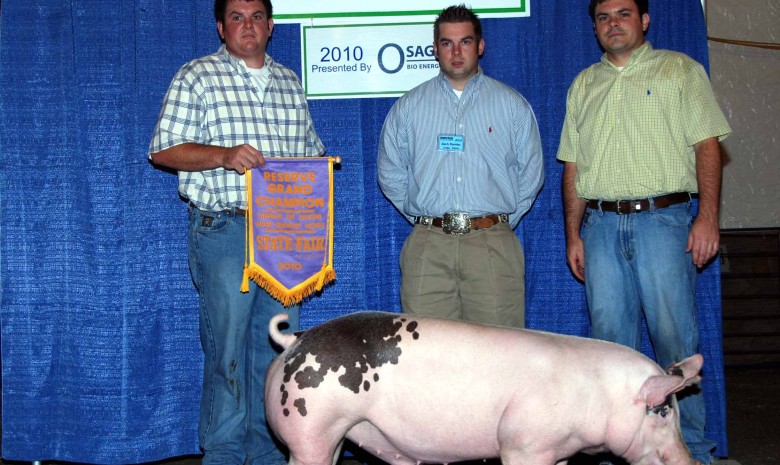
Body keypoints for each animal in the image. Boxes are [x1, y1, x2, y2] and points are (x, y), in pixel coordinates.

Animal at [266, 310, 704, 465]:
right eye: (663, 412)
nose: (692, 463)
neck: (597, 397)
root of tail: (293, 342)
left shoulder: (558, 450)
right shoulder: (524, 444)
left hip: (336, 435)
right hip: (308, 427)